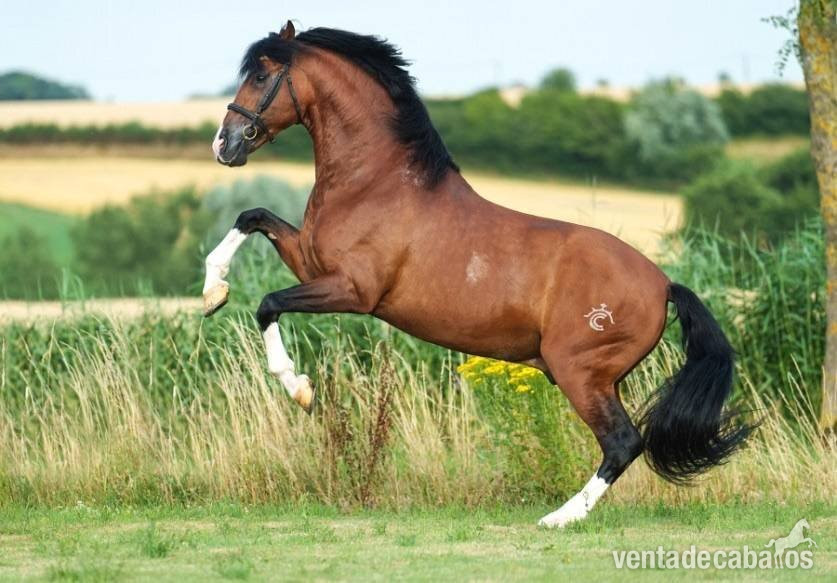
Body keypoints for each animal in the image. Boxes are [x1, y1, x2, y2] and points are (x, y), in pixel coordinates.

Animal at [203, 21, 752, 527]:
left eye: (260, 75)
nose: (223, 145)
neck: (376, 184)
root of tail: (663, 284)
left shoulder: (352, 291)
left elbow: (268, 304)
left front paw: (299, 389)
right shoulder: (309, 259)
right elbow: (251, 216)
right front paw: (213, 291)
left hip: (580, 372)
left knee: (622, 443)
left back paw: (559, 518)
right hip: (600, 378)